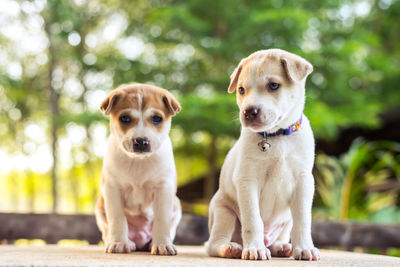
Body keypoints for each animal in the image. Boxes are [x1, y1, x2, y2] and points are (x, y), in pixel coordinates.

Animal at [94, 83, 182, 255]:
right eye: (125, 118)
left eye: (156, 118)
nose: (141, 141)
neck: (138, 161)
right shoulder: (112, 189)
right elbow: (117, 218)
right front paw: (119, 242)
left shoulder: (164, 189)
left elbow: (162, 219)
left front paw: (162, 244)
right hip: (100, 206)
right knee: (108, 229)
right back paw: (125, 241)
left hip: (176, 205)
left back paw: (152, 243)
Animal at [205, 49, 320, 262]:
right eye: (241, 90)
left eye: (273, 85)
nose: (249, 112)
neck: (276, 137)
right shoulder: (247, 180)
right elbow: (253, 219)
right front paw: (255, 249)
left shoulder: (303, 181)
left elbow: (303, 220)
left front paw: (305, 248)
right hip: (223, 212)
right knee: (213, 244)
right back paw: (231, 248)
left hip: (285, 221)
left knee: (282, 235)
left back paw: (281, 247)